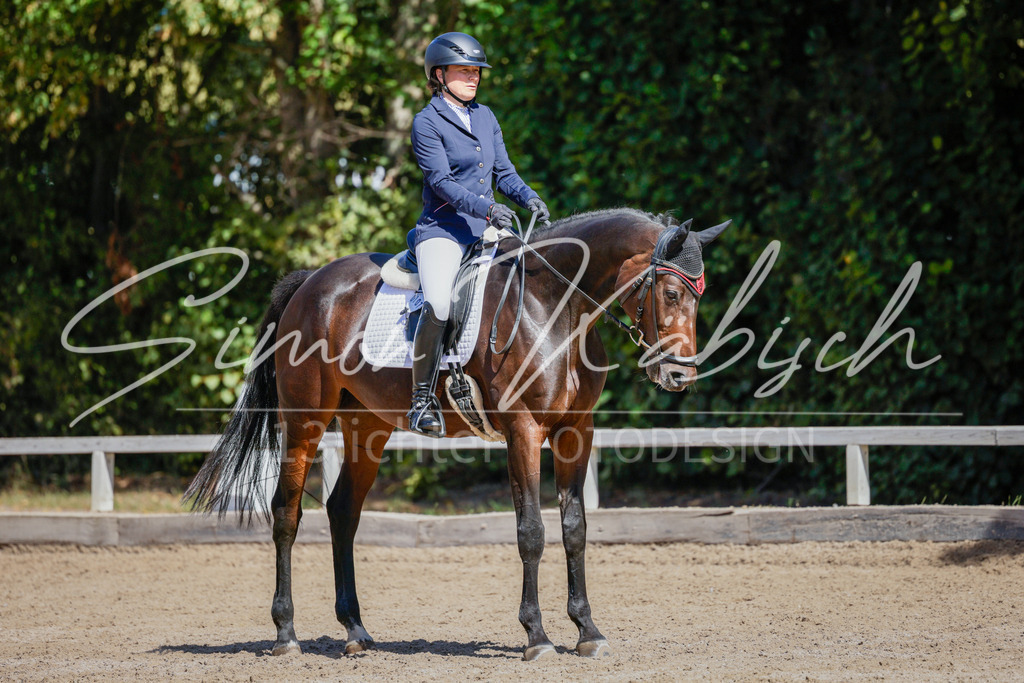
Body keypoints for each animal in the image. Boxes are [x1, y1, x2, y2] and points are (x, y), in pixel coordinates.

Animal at [185, 207, 731, 661]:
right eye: (672, 293)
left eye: (698, 295)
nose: (680, 376)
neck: (554, 306)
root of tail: (309, 284)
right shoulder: (523, 431)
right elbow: (532, 532)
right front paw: (537, 637)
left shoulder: (577, 431)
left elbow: (574, 530)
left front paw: (588, 633)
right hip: (305, 422)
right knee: (286, 514)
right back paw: (286, 635)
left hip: (367, 428)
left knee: (343, 513)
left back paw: (356, 633)